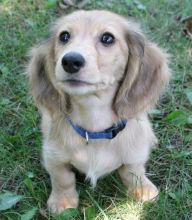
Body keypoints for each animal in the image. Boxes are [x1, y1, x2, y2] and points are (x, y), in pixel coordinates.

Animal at [27, 9, 170, 213]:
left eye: (107, 38)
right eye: (64, 36)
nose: (70, 61)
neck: (95, 129)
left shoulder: (134, 154)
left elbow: (133, 171)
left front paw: (143, 190)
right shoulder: (52, 155)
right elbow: (62, 178)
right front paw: (63, 202)